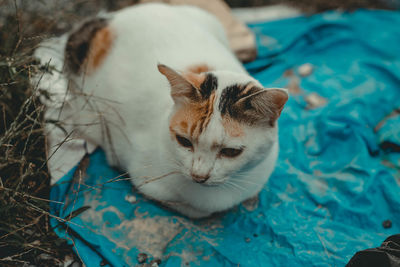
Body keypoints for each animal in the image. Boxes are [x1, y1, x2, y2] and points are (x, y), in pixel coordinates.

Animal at [61, 2, 288, 220]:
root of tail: (112, 17)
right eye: (184, 141)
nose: (199, 176)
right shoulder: (145, 180)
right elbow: (194, 210)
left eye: (231, 152)